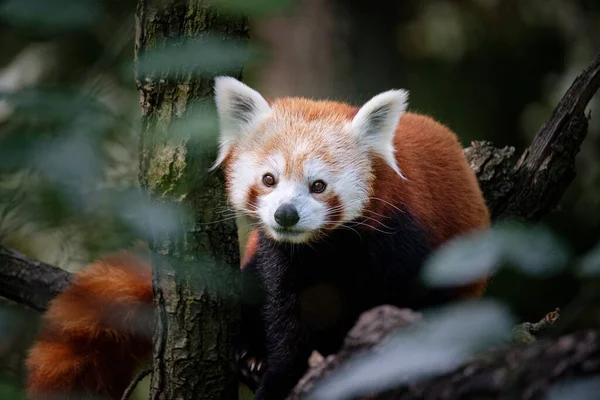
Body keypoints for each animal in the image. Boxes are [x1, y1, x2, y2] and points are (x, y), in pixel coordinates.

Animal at [25, 77, 490, 400]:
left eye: (318, 186)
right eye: (269, 179)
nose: (286, 214)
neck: (326, 248)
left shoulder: (400, 241)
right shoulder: (281, 259)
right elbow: (288, 324)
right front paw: (278, 376)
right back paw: (249, 355)